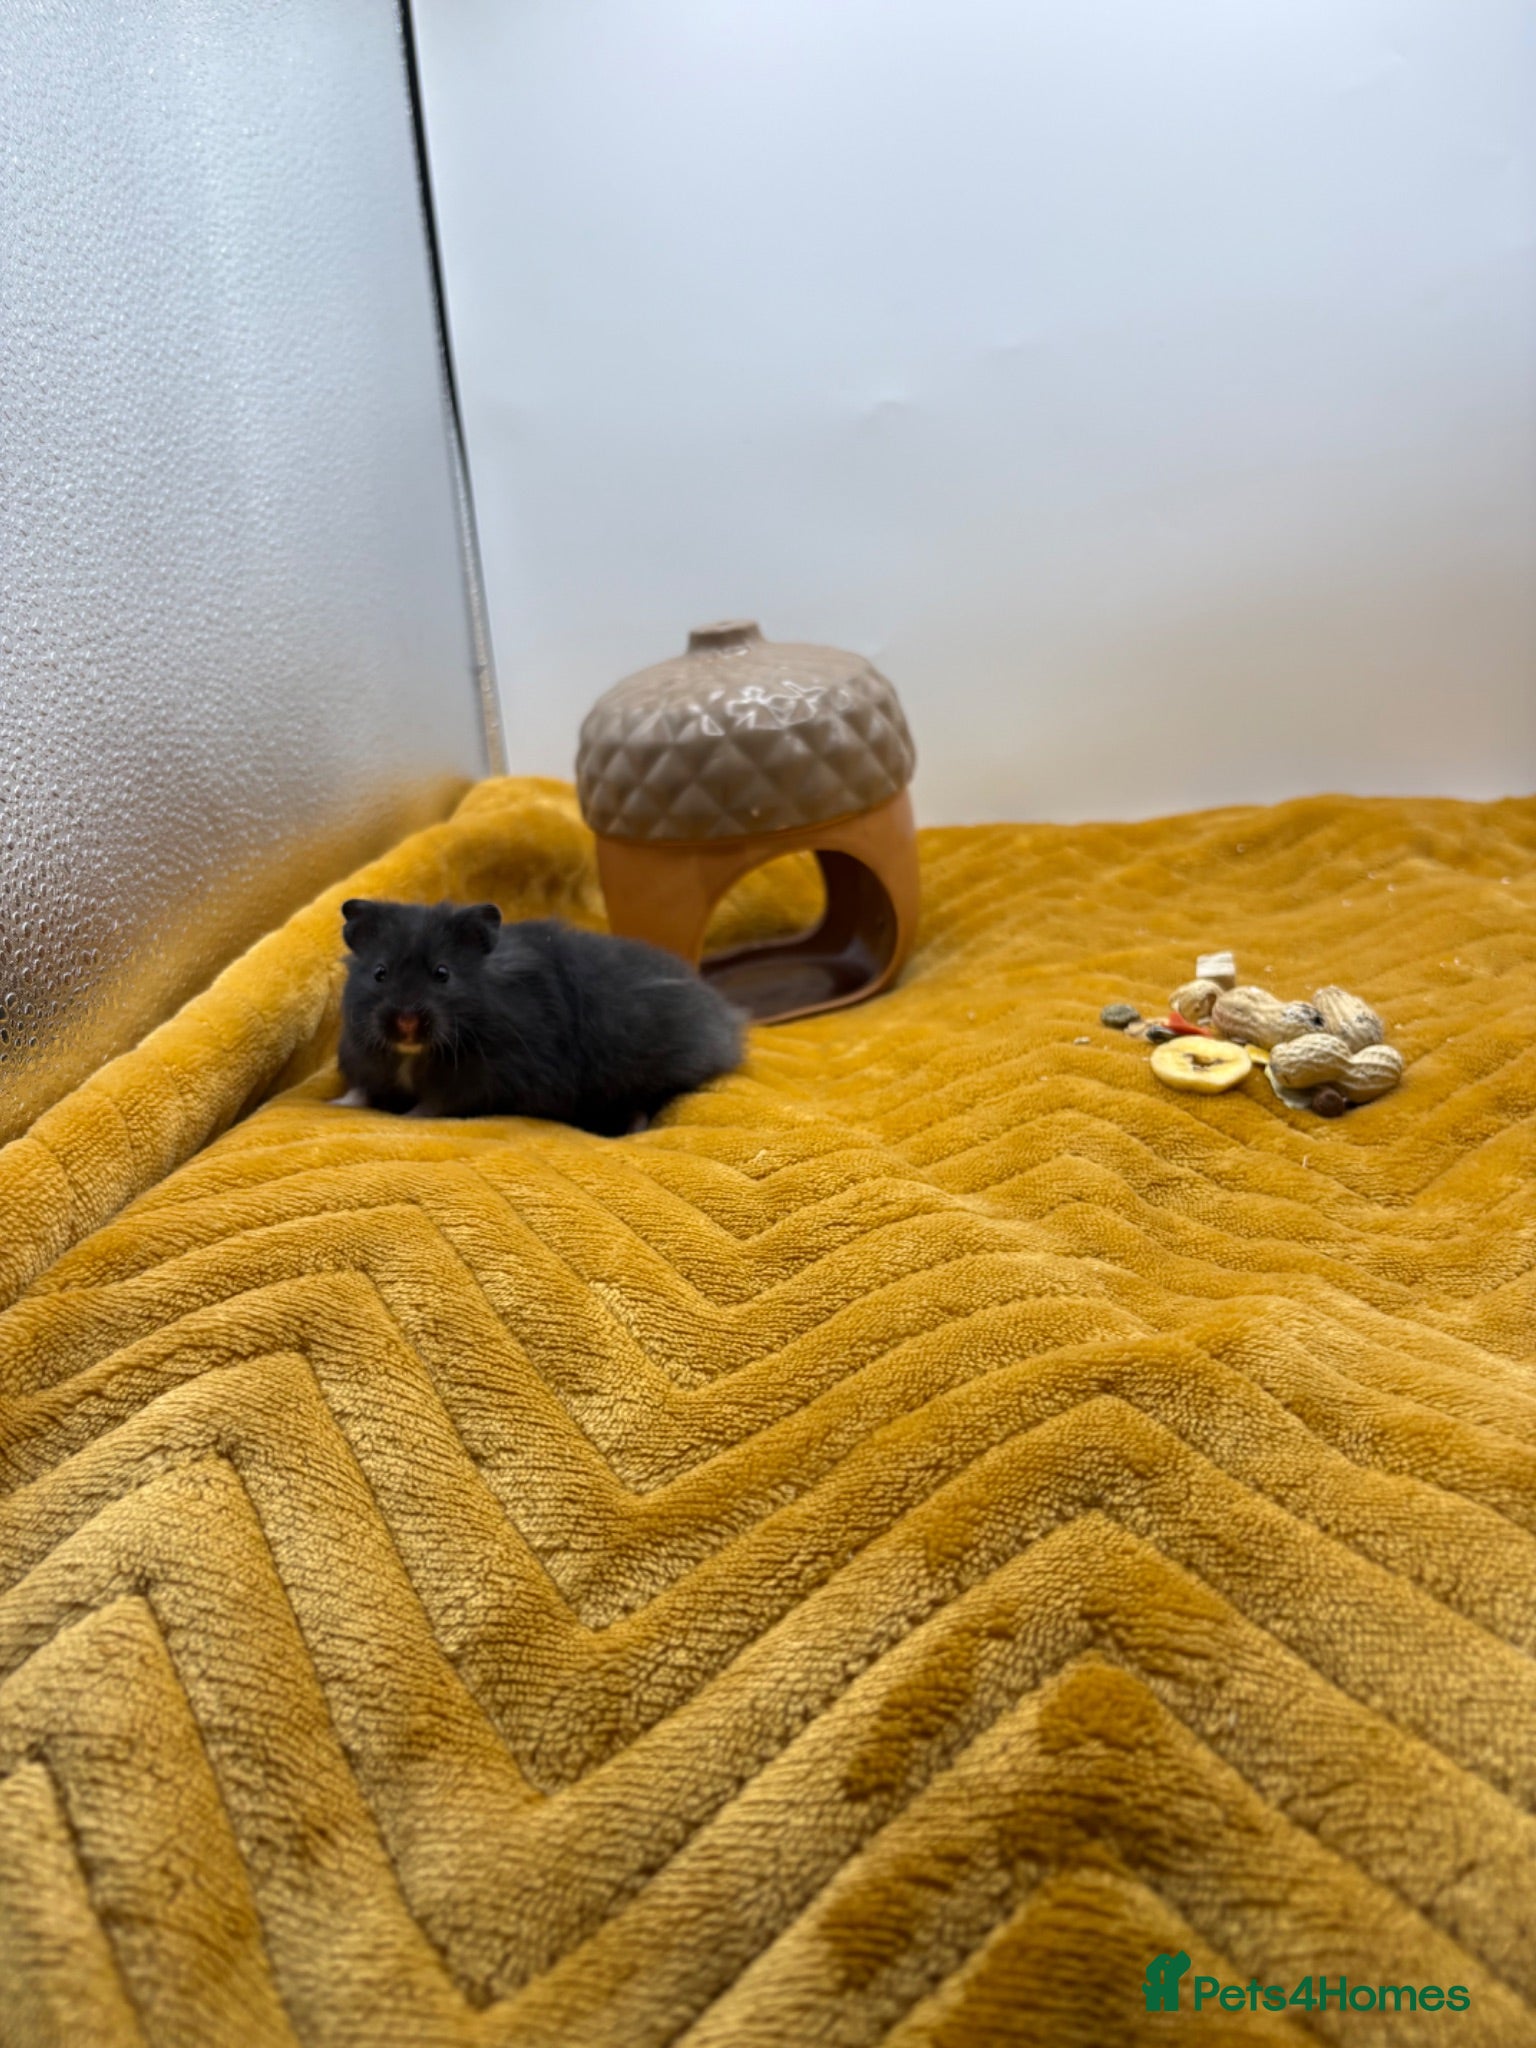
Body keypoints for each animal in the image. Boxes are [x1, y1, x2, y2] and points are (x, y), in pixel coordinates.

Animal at [335, 897, 745, 1135]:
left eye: (442, 973)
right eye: (379, 973)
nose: (405, 1024)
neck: (413, 1053)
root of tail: (726, 1015)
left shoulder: (479, 1079)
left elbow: (434, 1105)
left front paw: (404, 1118)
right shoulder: (365, 1058)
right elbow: (360, 1090)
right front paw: (337, 1105)